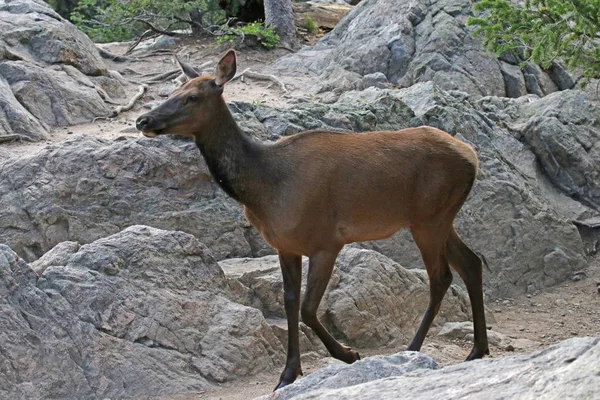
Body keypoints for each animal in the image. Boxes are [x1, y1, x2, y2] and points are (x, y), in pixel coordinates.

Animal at [138, 50, 490, 390]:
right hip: (438, 218)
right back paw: (478, 349)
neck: (265, 188)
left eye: (193, 96)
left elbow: (308, 308)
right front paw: (288, 373)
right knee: (471, 262)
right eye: (172, 91)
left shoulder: (327, 241)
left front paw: (348, 354)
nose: (143, 119)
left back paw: (413, 348)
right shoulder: (285, 246)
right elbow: (290, 303)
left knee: (441, 277)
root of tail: (472, 156)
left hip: (429, 219)